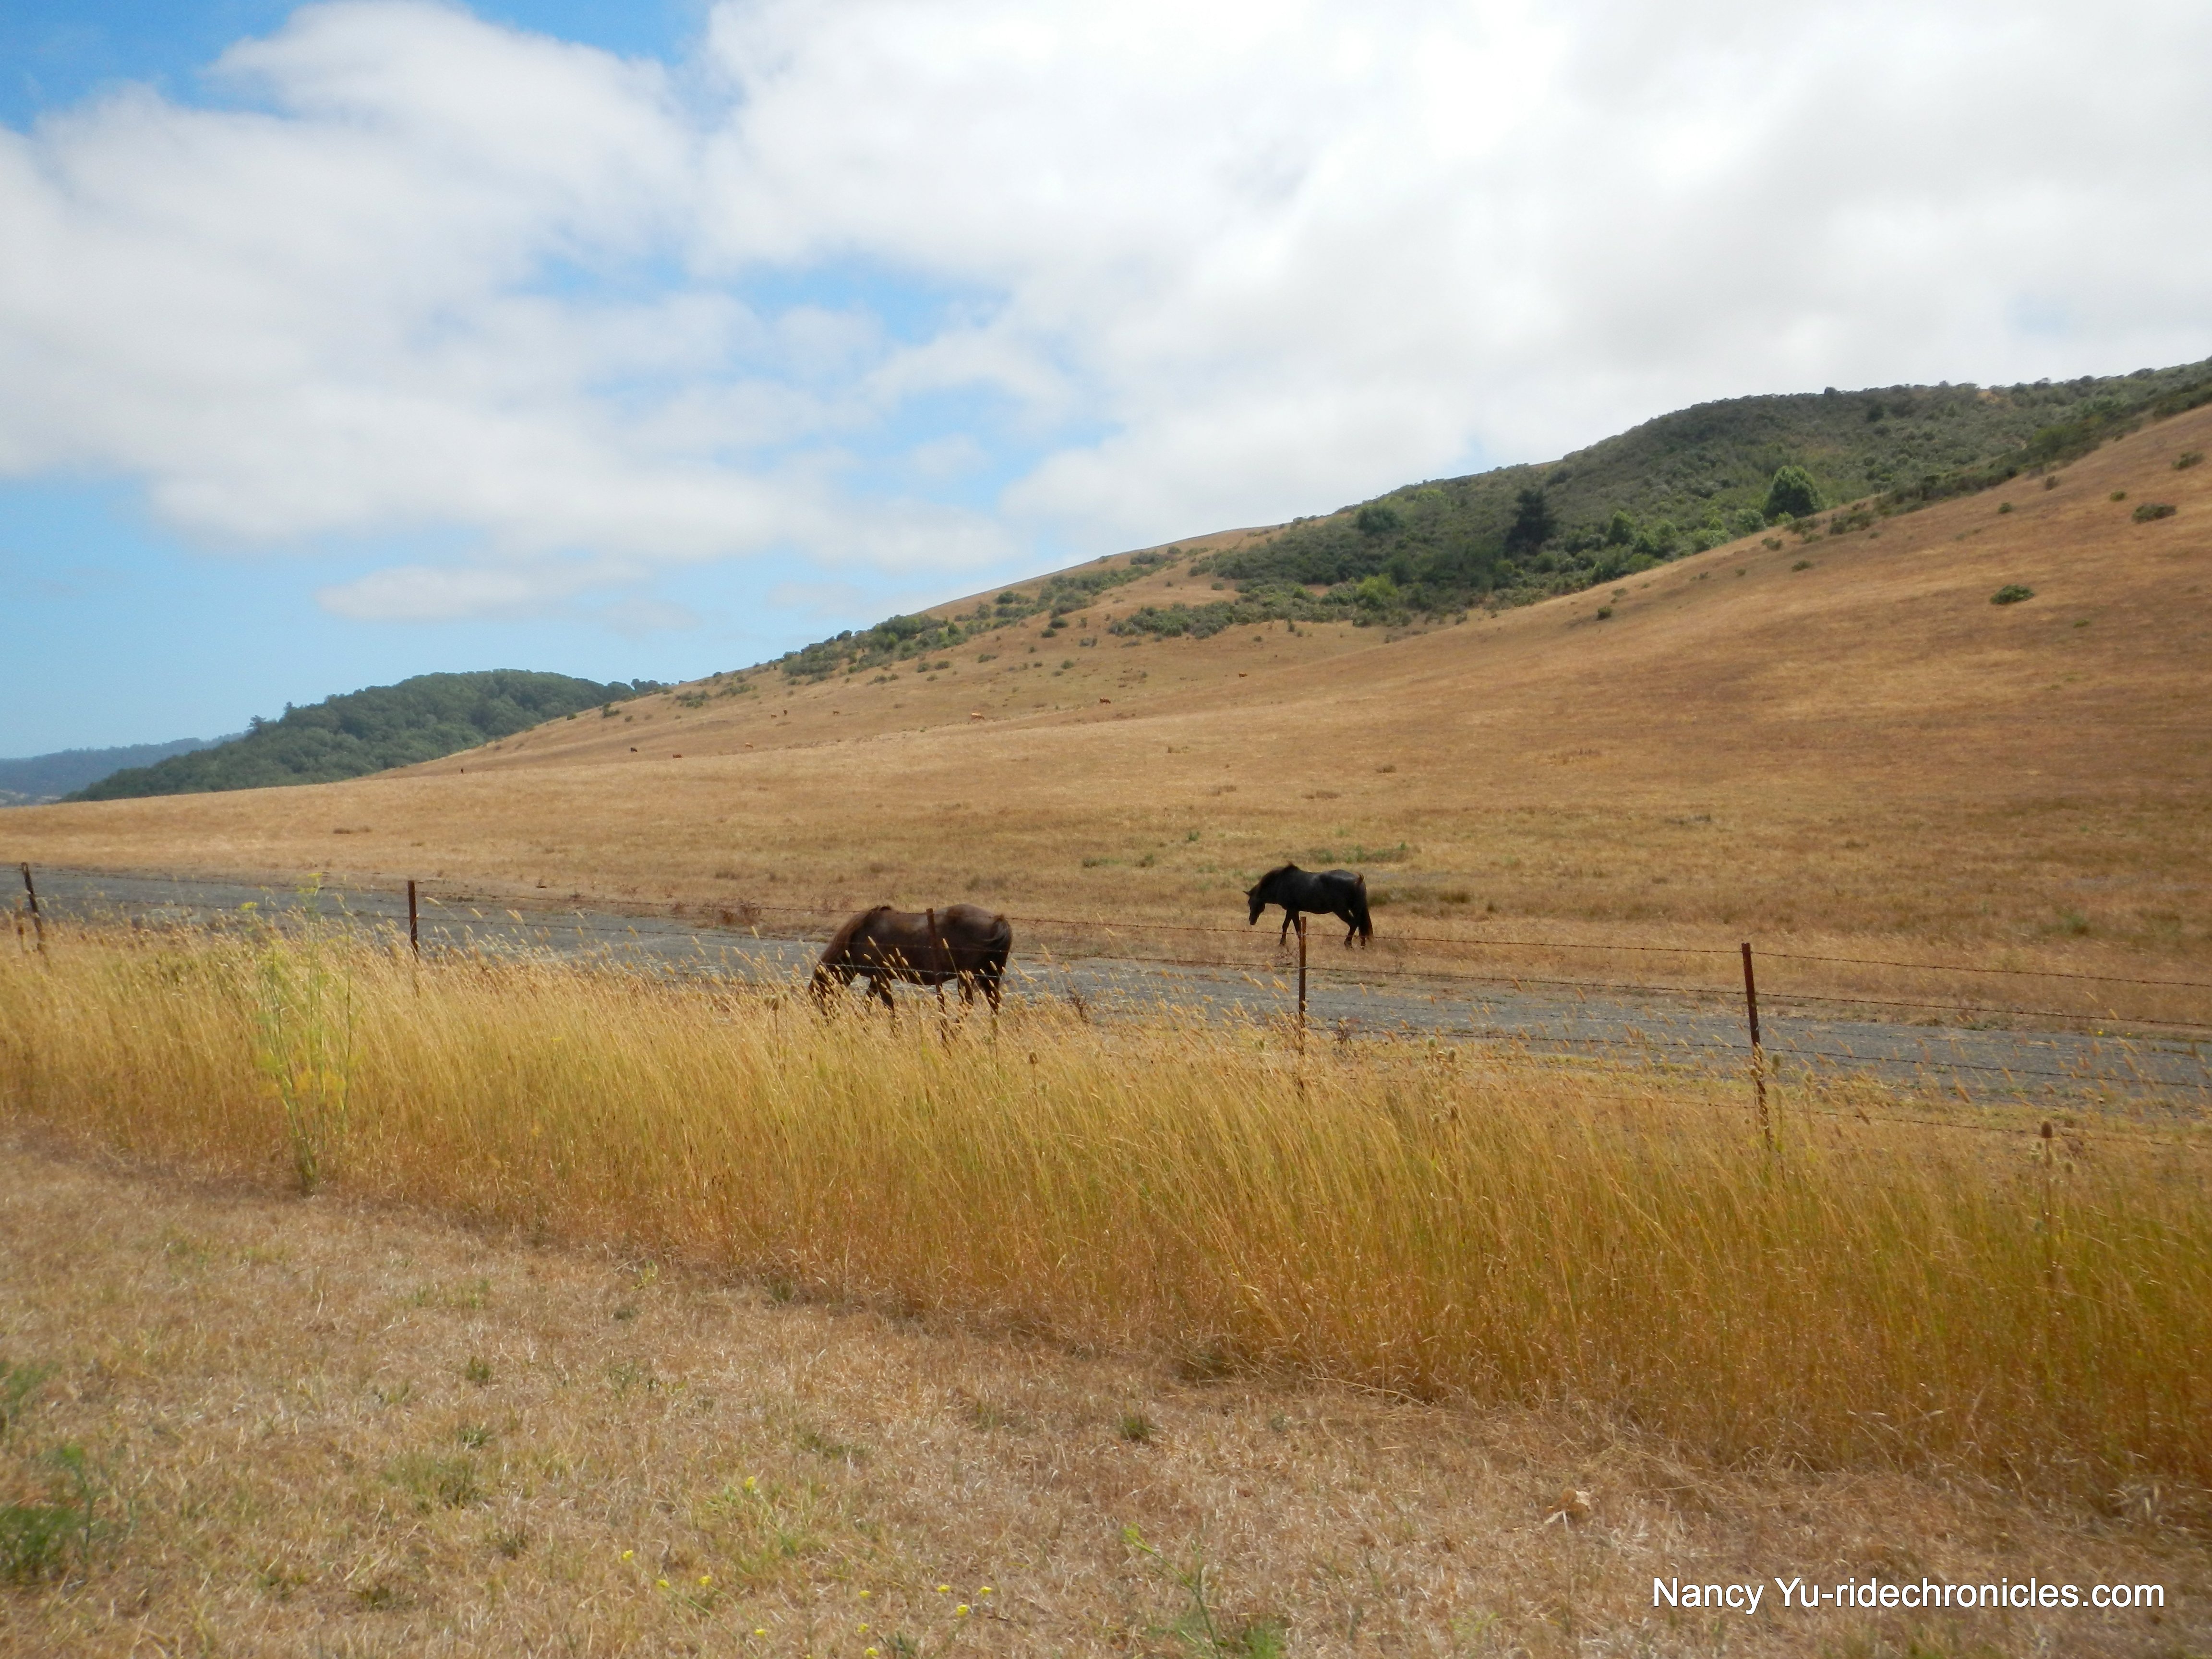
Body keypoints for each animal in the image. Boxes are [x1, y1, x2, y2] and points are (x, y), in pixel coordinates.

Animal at [810, 903, 1012, 1011]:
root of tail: (998, 920)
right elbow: (868, 1002)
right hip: (990, 976)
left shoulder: (881, 978)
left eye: (819, 996)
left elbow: (888, 1007)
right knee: (994, 1004)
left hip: (966, 977)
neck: (861, 936)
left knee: (967, 1004)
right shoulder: (877, 979)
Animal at [1246, 864, 1372, 947]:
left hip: (1341, 910)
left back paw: (1348, 943)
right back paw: (1362, 944)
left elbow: (1295, 927)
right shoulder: (1292, 910)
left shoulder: (1292, 909)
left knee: (1353, 923)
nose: (1251, 921)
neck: (1281, 882)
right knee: (1361, 926)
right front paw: (1284, 943)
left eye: (1252, 903)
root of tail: (1358, 880)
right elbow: (1287, 925)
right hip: (1356, 909)